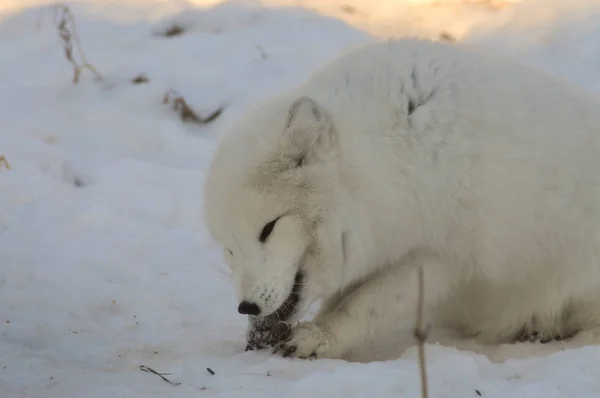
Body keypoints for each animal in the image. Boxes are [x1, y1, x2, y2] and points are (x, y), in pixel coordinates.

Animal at [204, 38, 600, 360]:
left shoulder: (440, 257)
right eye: (230, 249)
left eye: (269, 228)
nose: (246, 307)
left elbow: (365, 305)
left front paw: (319, 337)